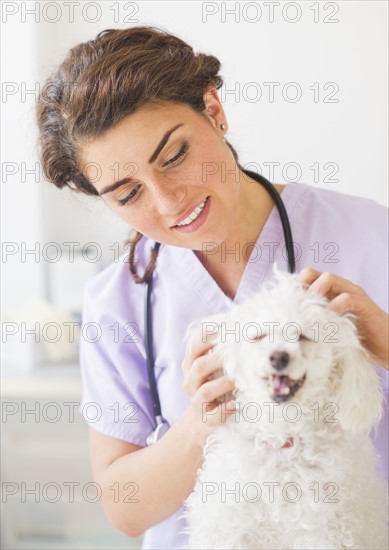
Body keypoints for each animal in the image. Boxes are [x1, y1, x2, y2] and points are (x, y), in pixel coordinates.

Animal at [180, 268, 386, 550]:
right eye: (258, 336)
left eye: (303, 336)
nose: (279, 357)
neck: (282, 443)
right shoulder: (229, 527)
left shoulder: (324, 531)